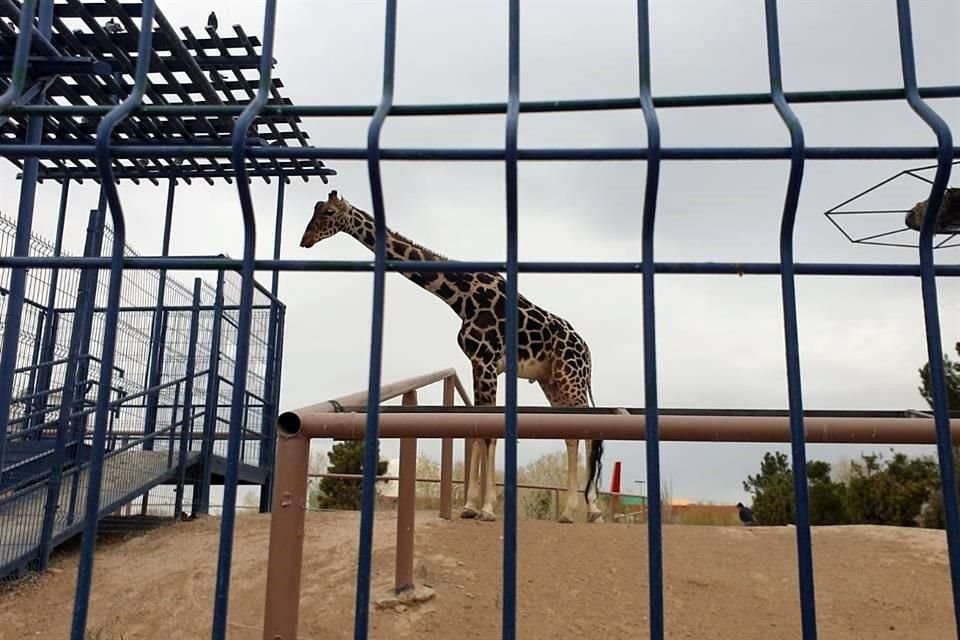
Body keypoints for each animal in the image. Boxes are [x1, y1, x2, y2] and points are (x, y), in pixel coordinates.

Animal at [296, 191, 604, 524]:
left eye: (328, 212)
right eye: (315, 211)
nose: (305, 240)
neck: (462, 296)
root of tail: (587, 350)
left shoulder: (486, 362)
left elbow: (489, 433)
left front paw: (487, 509)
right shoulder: (477, 363)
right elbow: (476, 428)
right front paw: (470, 505)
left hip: (571, 377)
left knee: (591, 430)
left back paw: (590, 509)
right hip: (552, 381)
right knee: (573, 432)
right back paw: (574, 511)